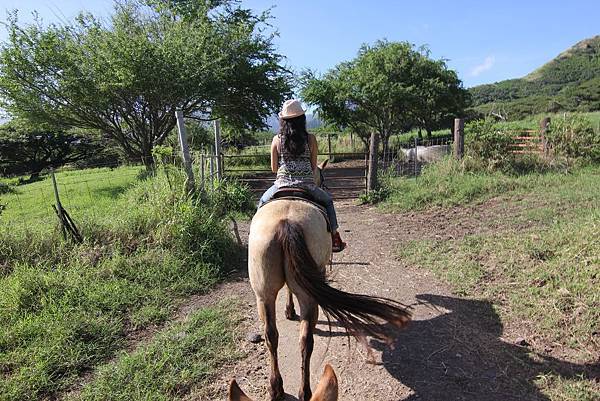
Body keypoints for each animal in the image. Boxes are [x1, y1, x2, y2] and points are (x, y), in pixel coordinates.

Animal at [246, 161, 410, 398]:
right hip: (304, 295)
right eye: (322, 177)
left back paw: (276, 388)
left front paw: (289, 311)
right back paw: (304, 391)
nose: (325, 185)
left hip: (264, 294)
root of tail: (286, 222)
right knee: (305, 339)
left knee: (272, 336)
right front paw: (290, 311)